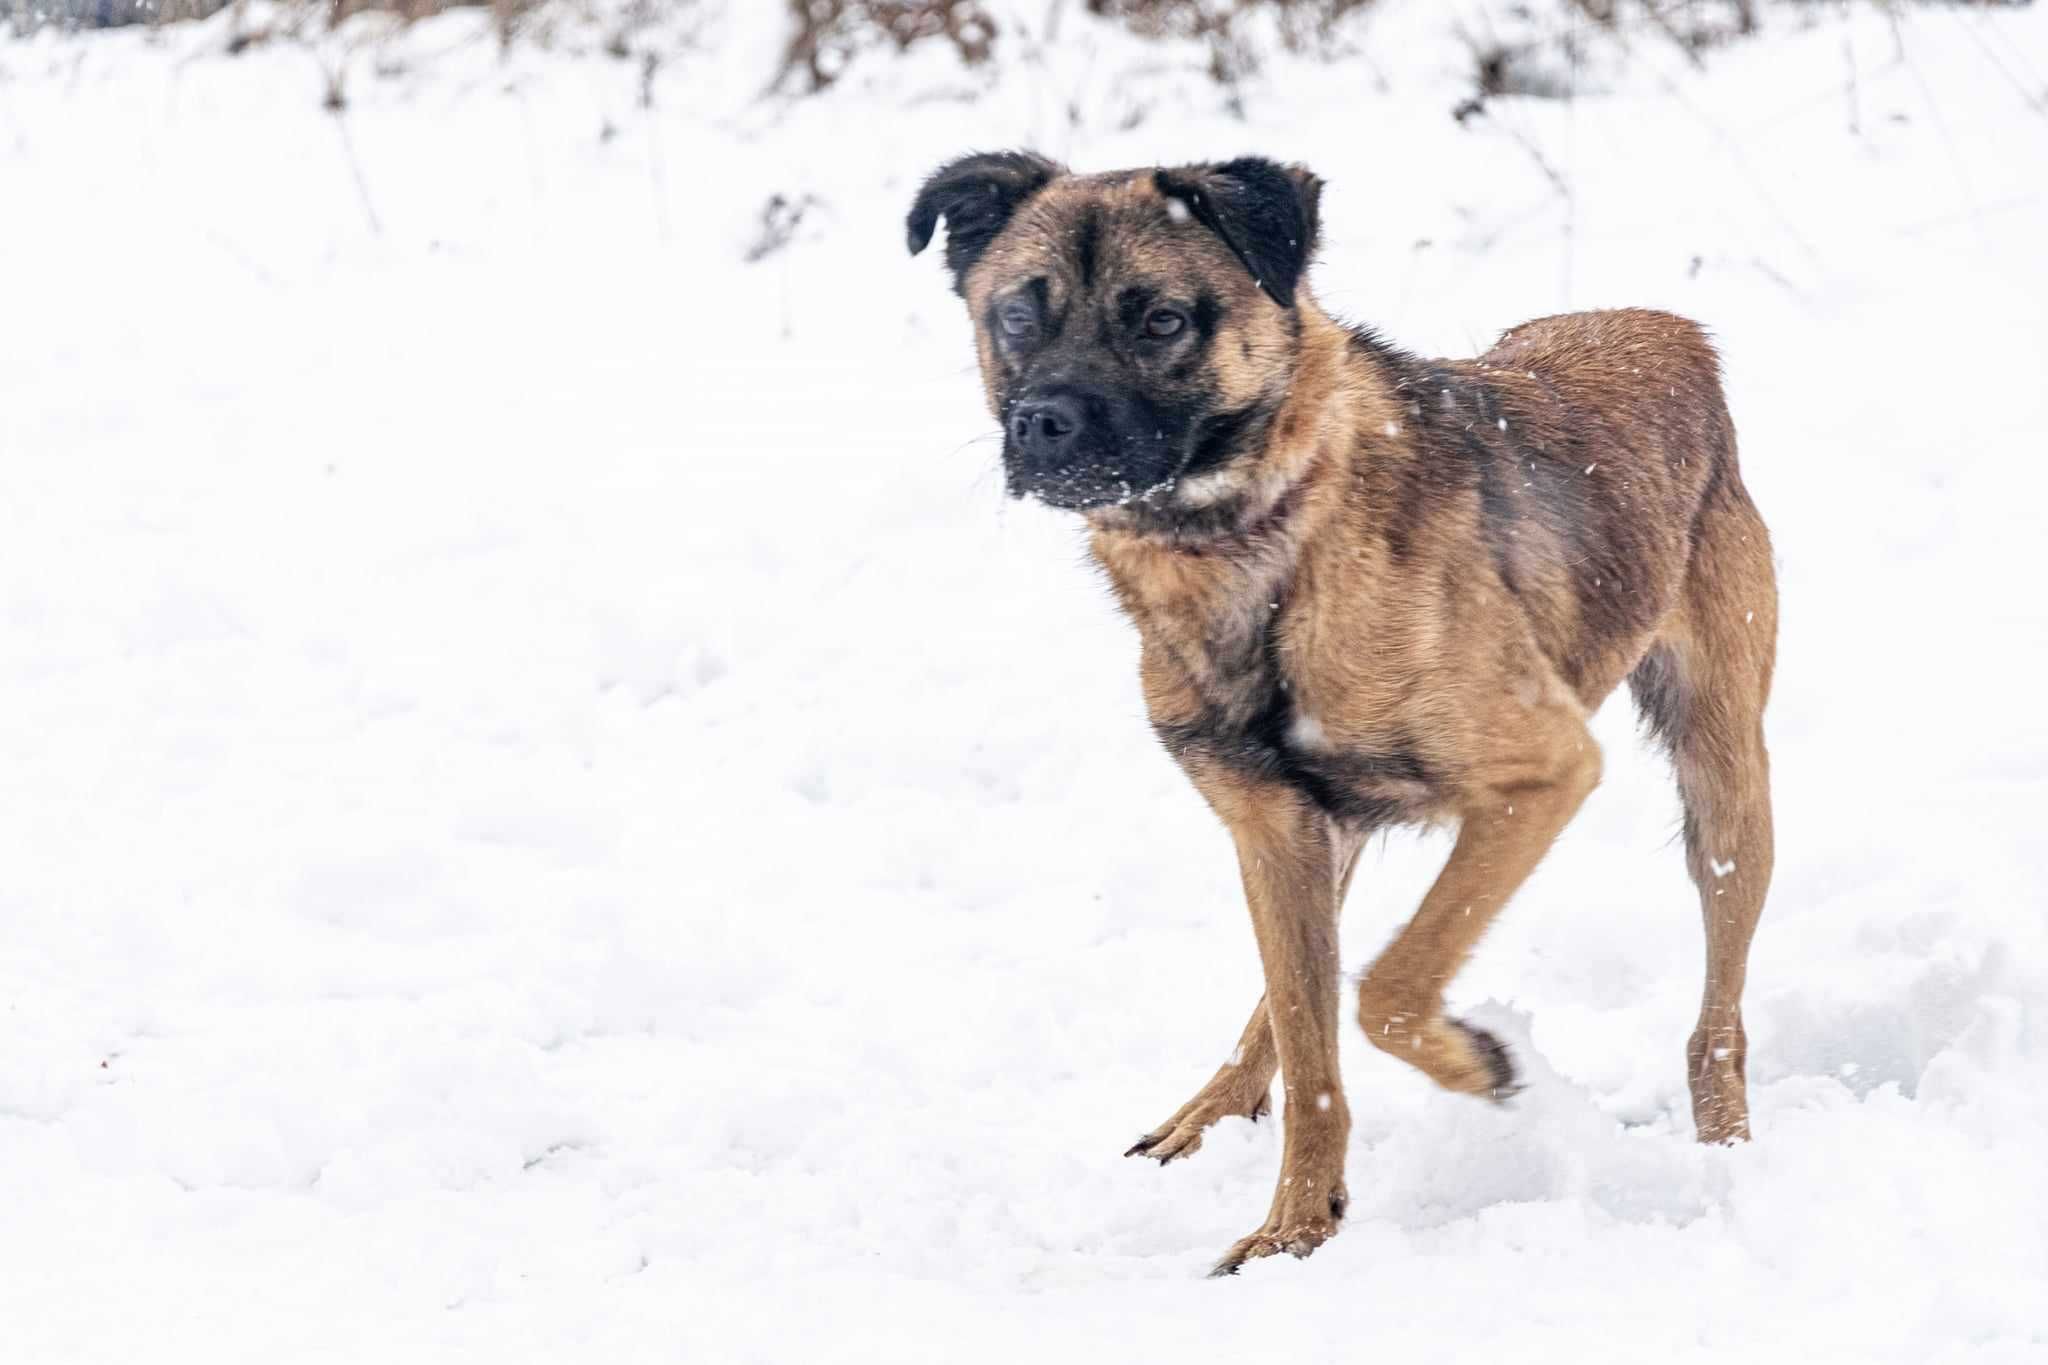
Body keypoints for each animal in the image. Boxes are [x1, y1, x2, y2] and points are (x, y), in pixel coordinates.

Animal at [909, 157, 1777, 1285]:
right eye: (1017, 316)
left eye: (1160, 320)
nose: (1044, 425)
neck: (1266, 542)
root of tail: (1662, 328)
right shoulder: (1273, 828)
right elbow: (1312, 1044)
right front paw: (1295, 1230)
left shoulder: (1542, 774)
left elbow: (1386, 989)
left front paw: (1476, 1066)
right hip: (1329, 841)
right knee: (1284, 1009)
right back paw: (1206, 1113)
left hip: (1723, 798)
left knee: (1716, 1021)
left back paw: (1723, 1152)